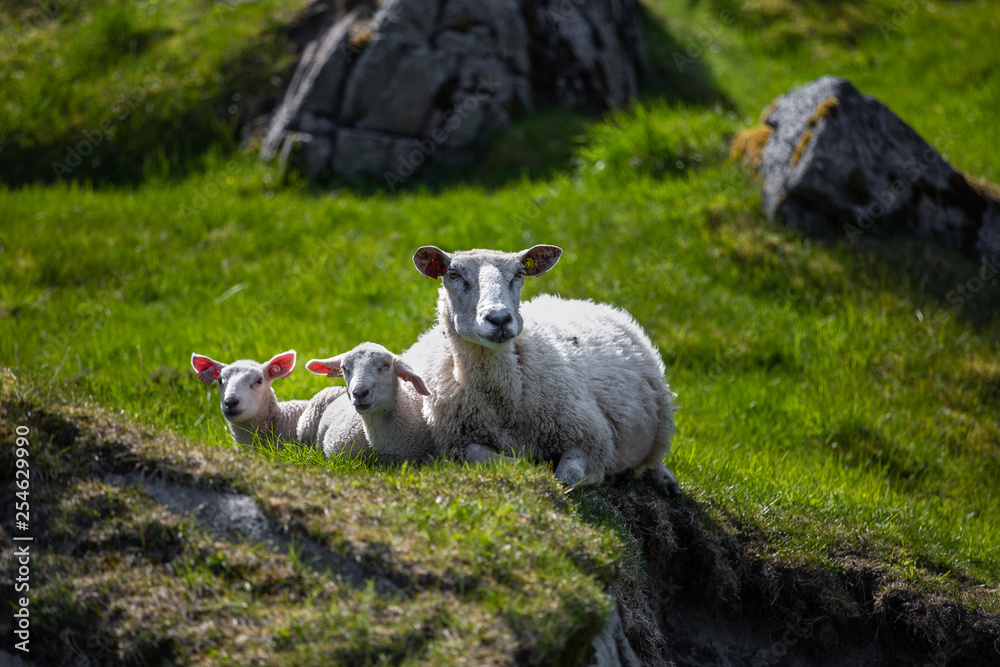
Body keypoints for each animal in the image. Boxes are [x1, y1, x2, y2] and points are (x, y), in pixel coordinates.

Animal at [404, 245, 680, 496]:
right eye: (453, 274)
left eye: (519, 273)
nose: (499, 318)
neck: (502, 405)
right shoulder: (457, 444)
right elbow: (497, 460)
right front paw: (531, 466)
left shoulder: (592, 438)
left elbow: (568, 477)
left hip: (660, 424)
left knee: (653, 460)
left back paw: (665, 482)